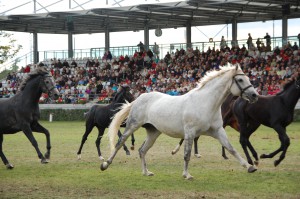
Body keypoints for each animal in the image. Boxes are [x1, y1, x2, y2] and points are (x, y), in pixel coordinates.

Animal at [100, 64, 258, 180]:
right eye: (240, 80)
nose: (254, 95)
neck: (206, 103)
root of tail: (138, 98)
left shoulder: (218, 131)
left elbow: (231, 149)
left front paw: (250, 167)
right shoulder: (190, 133)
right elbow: (187, 154)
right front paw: (187, 175)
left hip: (153, 132)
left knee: (142, 150)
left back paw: (146, 172)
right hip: (133, 125)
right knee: (120, 142)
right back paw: (105, 164)